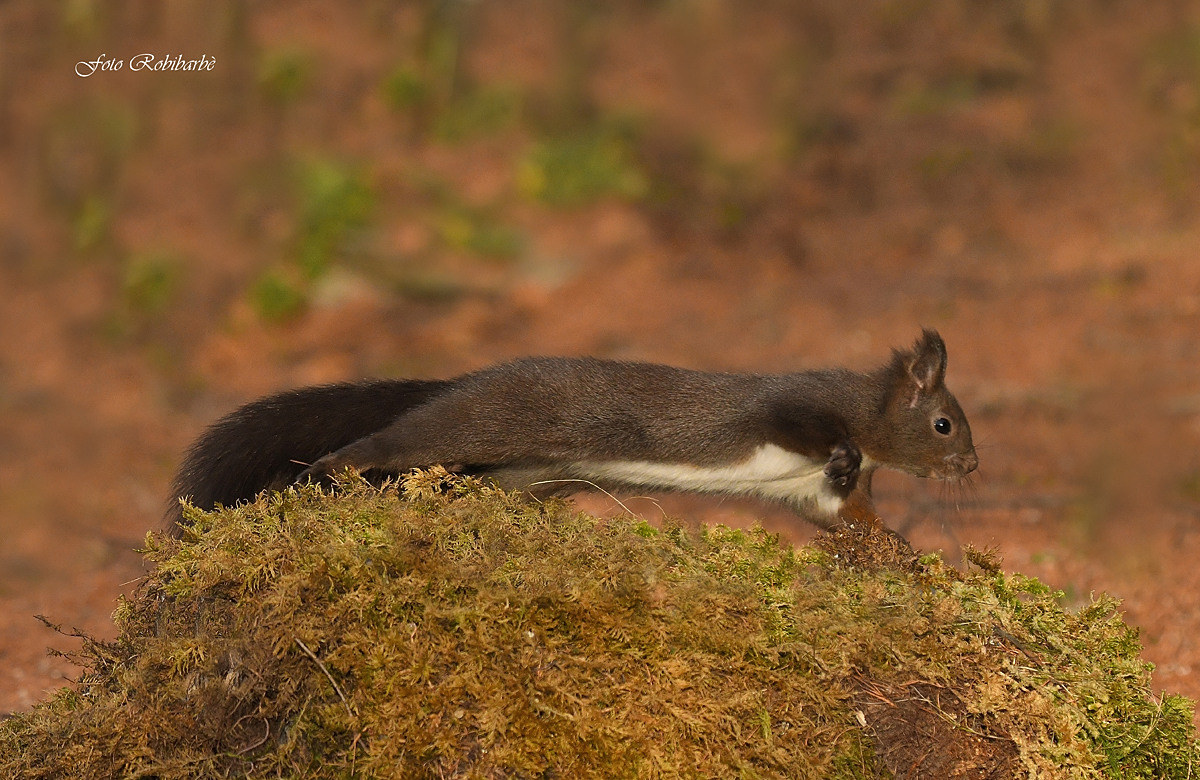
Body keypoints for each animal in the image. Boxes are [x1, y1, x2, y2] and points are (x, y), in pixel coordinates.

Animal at [167, 329, 977, 536]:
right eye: (945, 424)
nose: (972, 467)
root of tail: (462, 380)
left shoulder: (820, 496)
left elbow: (853, 517)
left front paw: (902, 553)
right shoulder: (794, 406)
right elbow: (809, 429)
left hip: (516, 472)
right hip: (477, 425)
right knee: (387, 443)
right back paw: (325, 471)